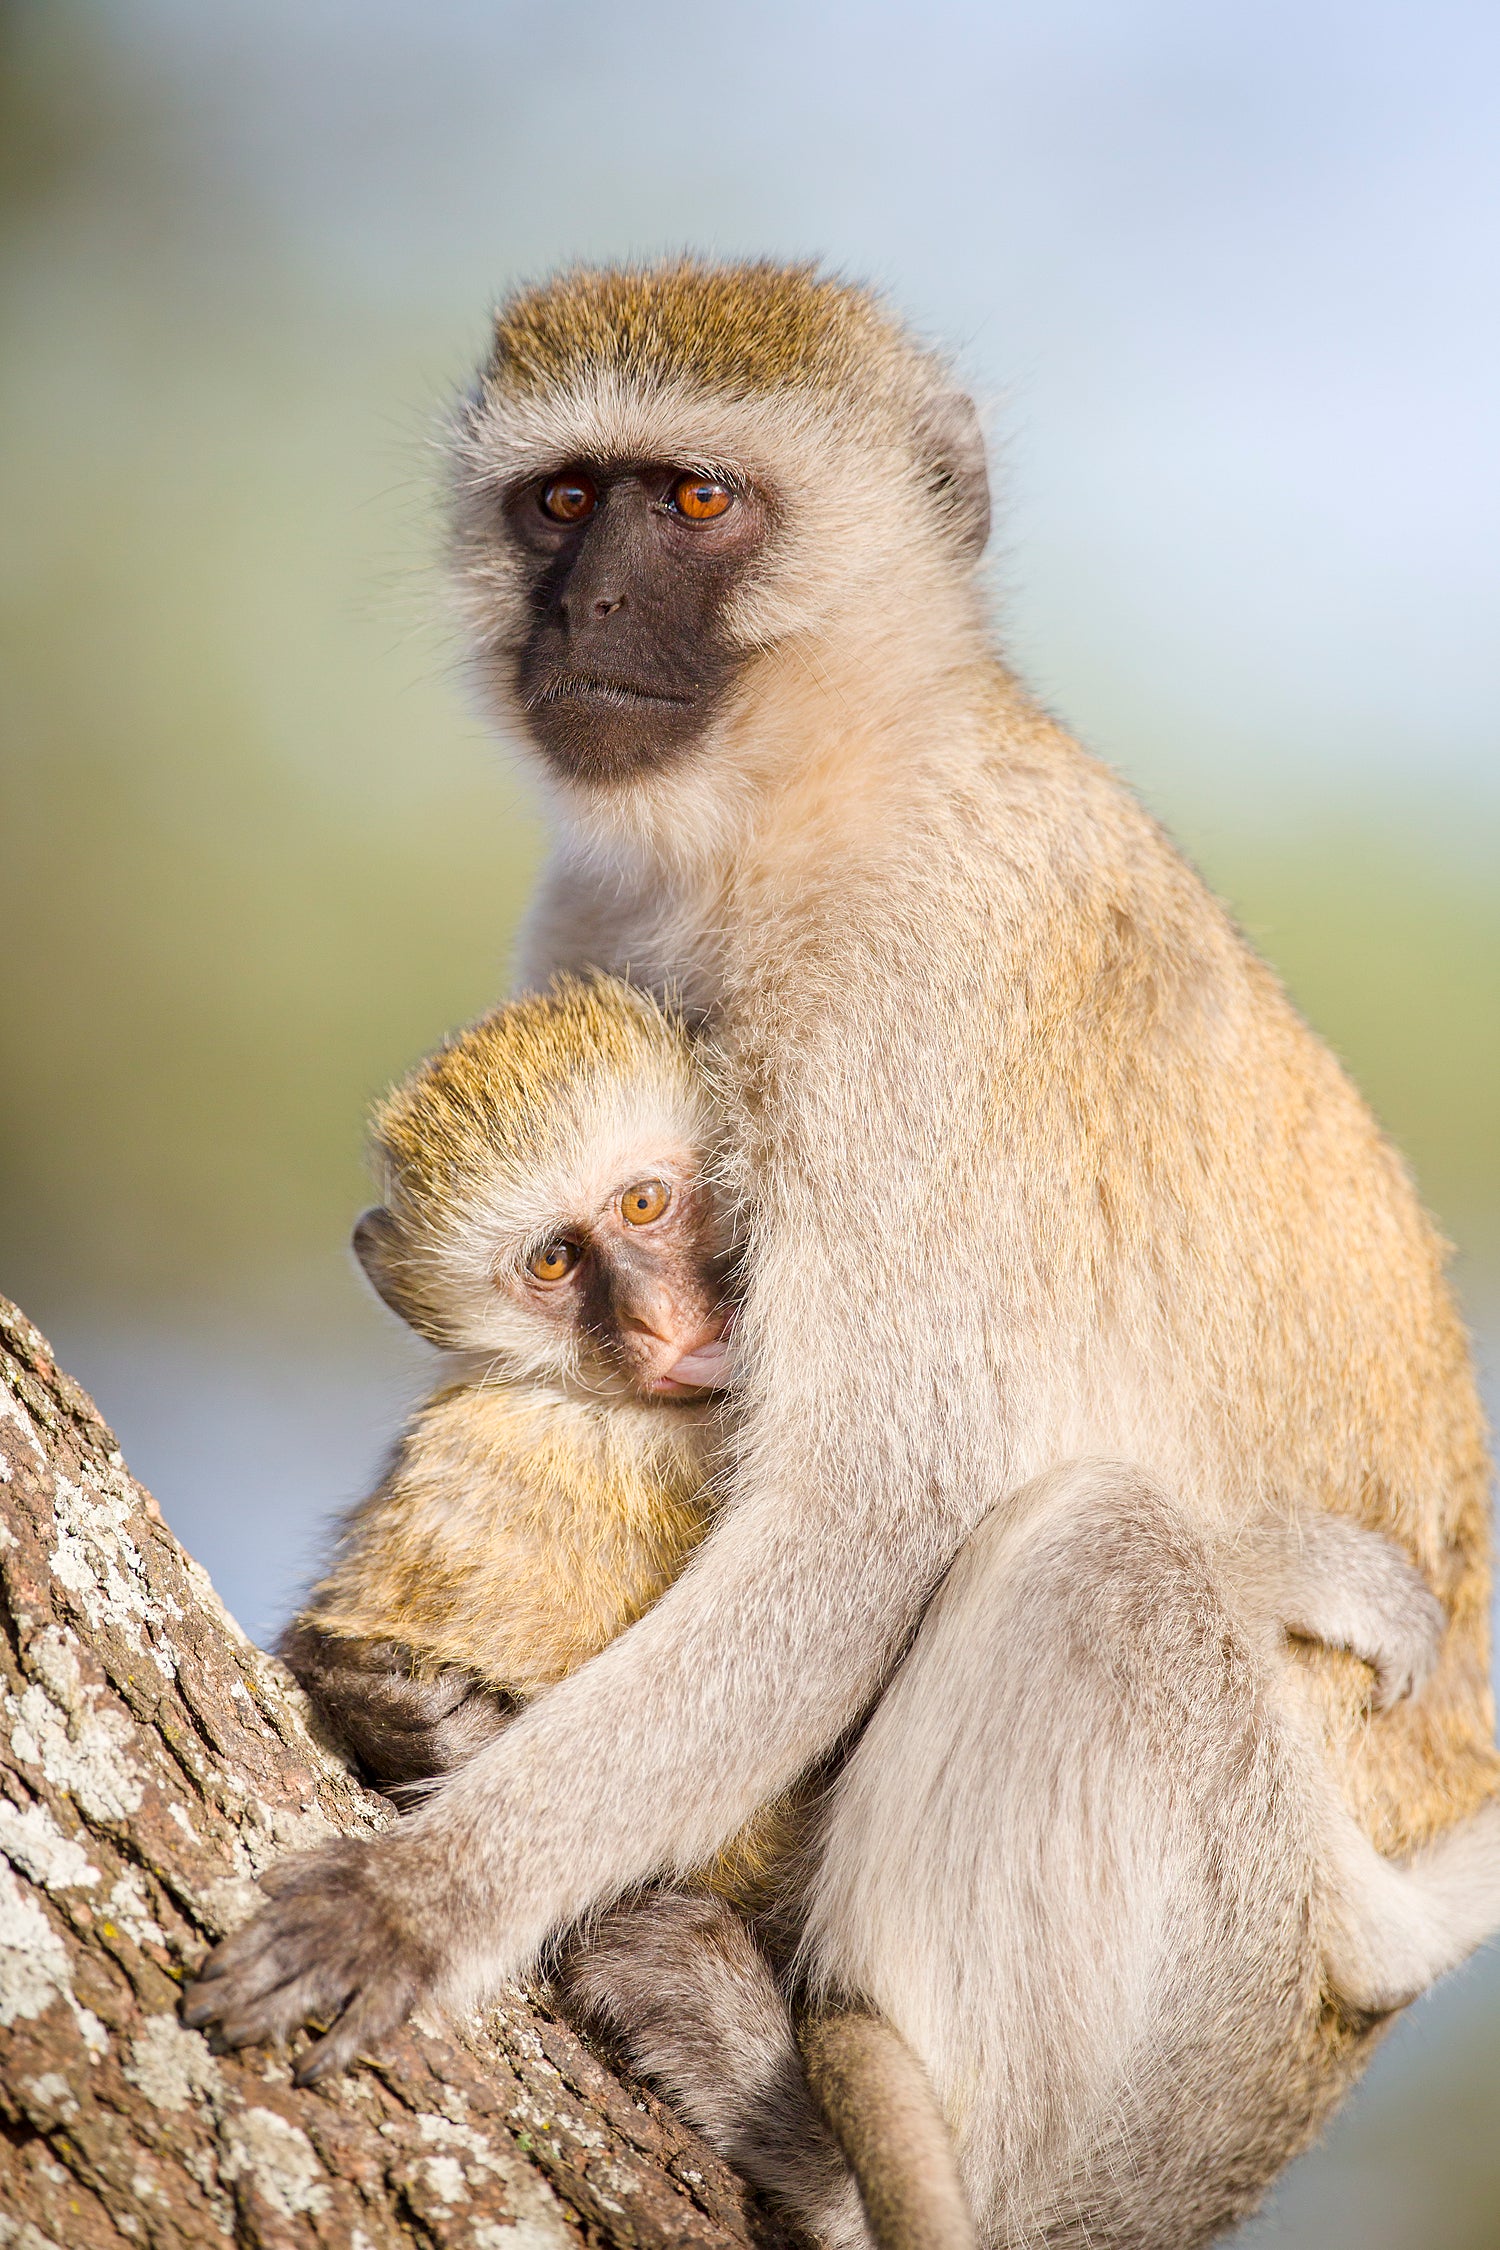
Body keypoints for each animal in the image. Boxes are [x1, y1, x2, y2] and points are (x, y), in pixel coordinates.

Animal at [191, 258, 1500, 2232]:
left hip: (1222, 2021)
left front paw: (424, 1901)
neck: (808, 795)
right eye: (562, 501)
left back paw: (801, 2136)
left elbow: (874, 1505)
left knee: (1100, 1562)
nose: (589, 606)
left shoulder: (910, 980)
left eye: (696, 502)